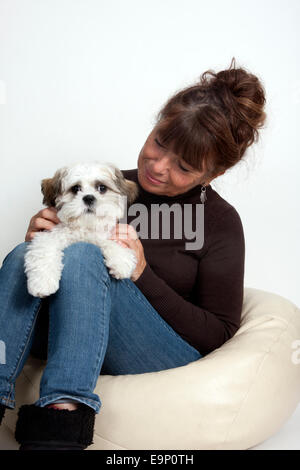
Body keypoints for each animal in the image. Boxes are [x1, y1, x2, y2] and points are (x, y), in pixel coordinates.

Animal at [24, 162, 139, 298]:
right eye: (75, 188)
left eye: (102, 188)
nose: (89, 198)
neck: (84, 227)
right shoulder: (50, 234)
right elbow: (43, 250)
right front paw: (42, 283)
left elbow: (112, 241)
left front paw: (121, 259)